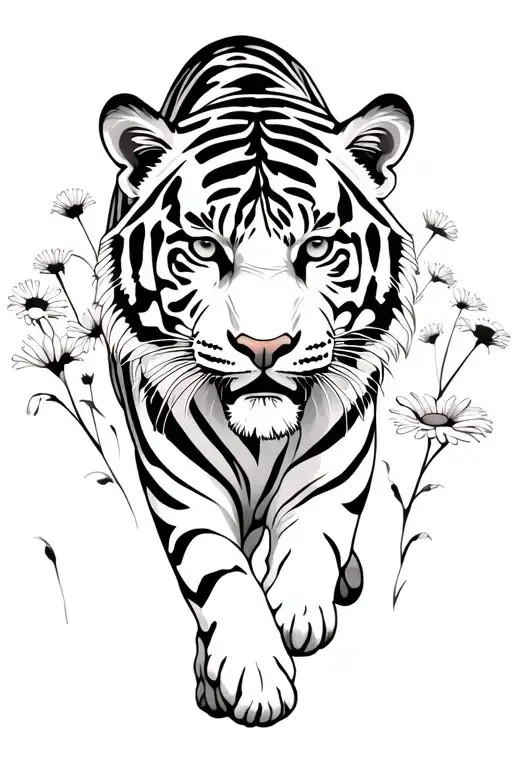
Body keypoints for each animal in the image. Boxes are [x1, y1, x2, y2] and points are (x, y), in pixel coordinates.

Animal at [96, 35, 416, 727]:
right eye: (204, 249)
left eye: (318, 248)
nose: (264, 347)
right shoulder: (184, 493)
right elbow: (221, 575)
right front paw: (253, 675)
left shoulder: (336, 470)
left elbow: (316, 536)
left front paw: (297, 612)